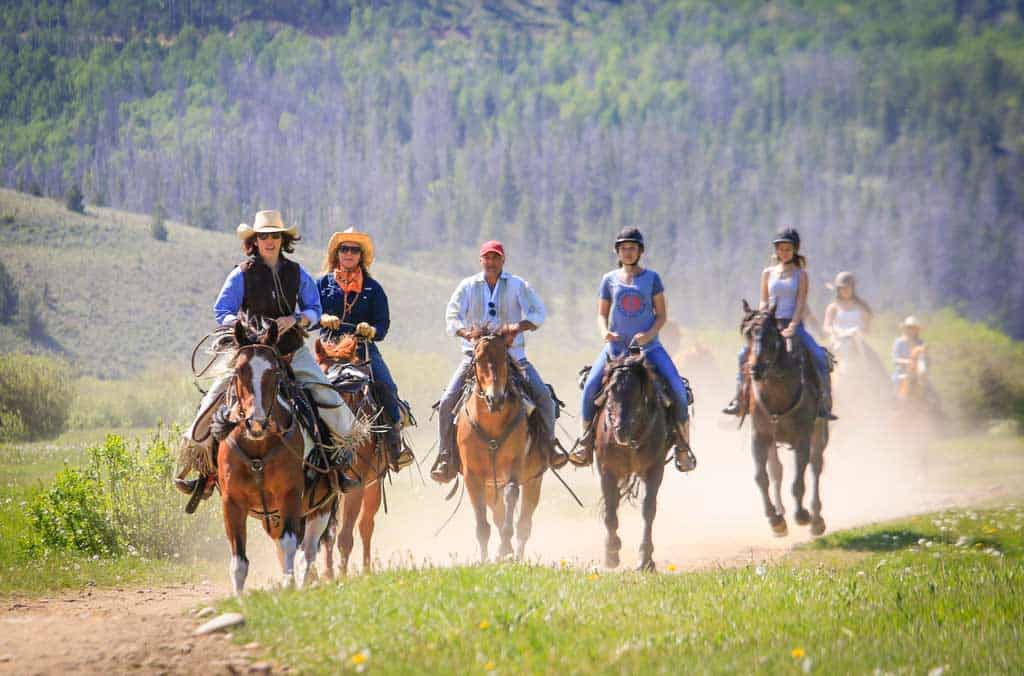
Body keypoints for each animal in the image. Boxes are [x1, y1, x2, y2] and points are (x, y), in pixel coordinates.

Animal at [218, 321, 342, 589]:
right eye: (238, 371)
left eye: (274, 372)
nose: (256, 422)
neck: (258, 447)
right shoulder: (232, 502)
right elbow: (238, 563)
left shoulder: (290, 495)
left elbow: (289, 547)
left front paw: (288, 587)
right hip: (273, 517)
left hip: (320, 508)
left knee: (307, 553)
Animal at [311, 335, 387, 577]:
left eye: (352, 390)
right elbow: (324, 533)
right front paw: (324, 575)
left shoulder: (358, 484)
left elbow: (345, 535)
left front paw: (342, 576)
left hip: (374, 483)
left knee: (365, 524)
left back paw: (366, 569)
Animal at [460, 325, 548, 561]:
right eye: (478, 359)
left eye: (504, 358)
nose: (495, 398)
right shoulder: (472, 476)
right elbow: (482, 524)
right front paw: (484, 560)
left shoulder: (515, 467)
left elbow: (511, 496)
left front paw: (504, 549)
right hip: (492, 486)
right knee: (497, 515)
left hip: (533, 481)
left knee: (524, 523)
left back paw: (515, 555)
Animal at [593, 346, 671, 573]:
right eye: (610, 390)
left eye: (637, 391)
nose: (621, 429)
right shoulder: (606, 470)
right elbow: (610, 509)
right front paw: (611, 553)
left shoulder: (654, 469)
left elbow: (648, 510)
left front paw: (646, 559)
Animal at [745, 301, 831, 536]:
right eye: (747, 333)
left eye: (770, 334)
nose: (755, 368)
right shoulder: (759, 436)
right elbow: (761, 477)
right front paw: (775, 519)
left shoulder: (803, 436)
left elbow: (798, 480)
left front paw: (801, 515)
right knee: (776, 470)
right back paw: (781, 511)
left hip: (820, 430)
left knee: (816, 465)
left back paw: (816, 519)